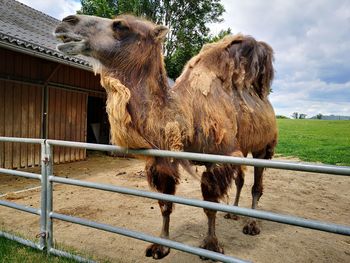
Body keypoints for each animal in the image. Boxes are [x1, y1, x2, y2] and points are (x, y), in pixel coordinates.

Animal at [54, 14, 278, 260]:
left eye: (120, 25)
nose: (67, 21)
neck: (184, 115)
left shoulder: (218, 158)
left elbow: (210, 206)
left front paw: (210, 245)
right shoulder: (162, 159)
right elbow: (165, 203)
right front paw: (160, 245)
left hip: (264, 145)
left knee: (256, 186)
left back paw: (252, 224)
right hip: (243, 148)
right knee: (240, 179)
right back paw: (233, 213)